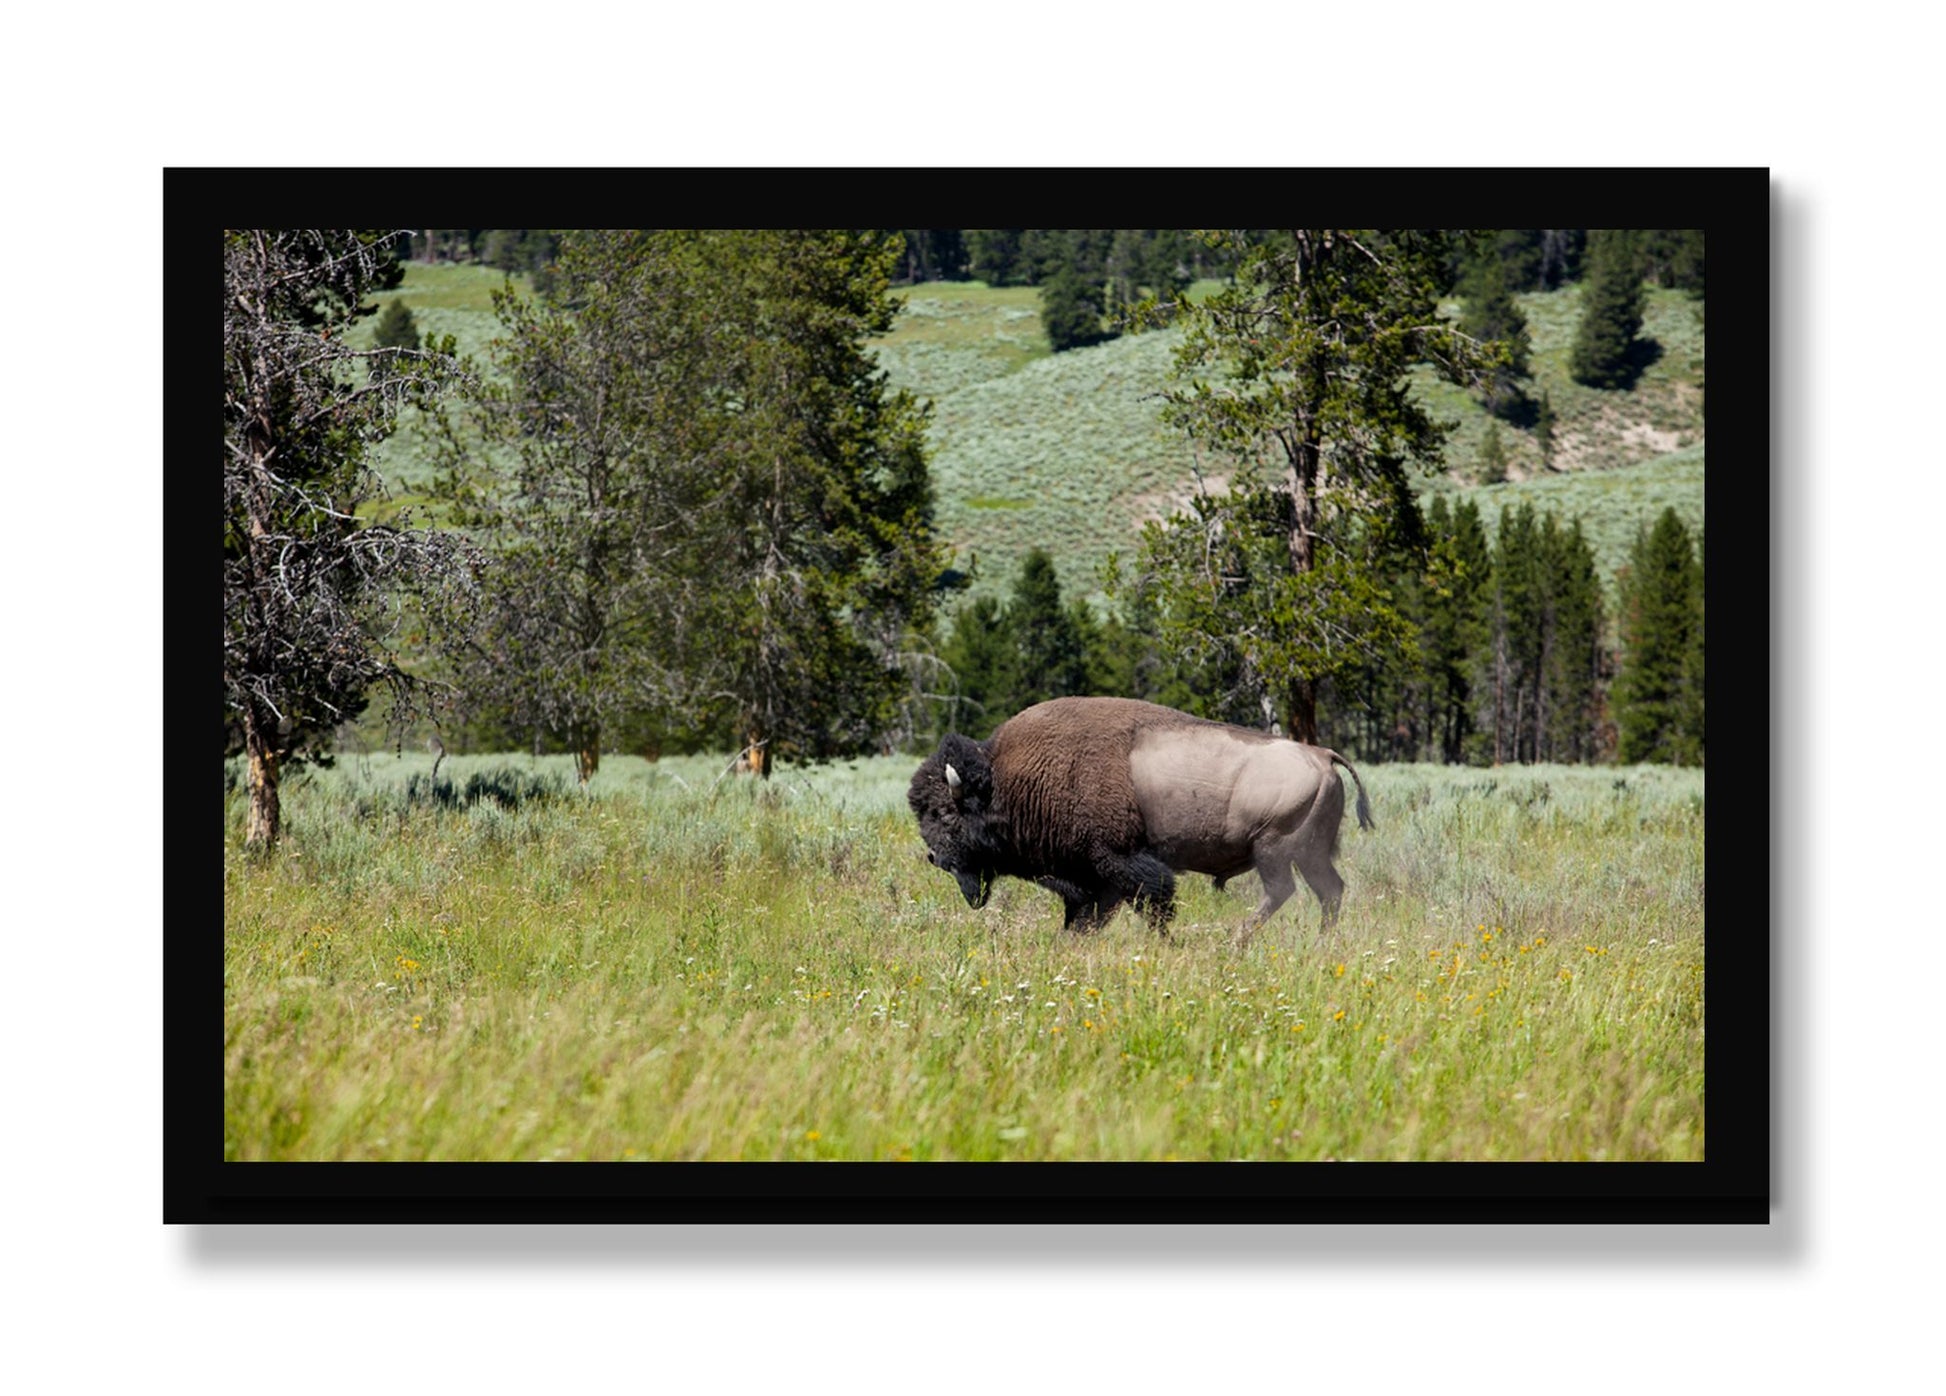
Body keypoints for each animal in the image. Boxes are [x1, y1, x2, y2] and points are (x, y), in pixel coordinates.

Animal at [908, 696, 1372, 946]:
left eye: (943, 813)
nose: (934, 857)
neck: (1007, 780)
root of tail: (1322, 755)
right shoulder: (1092, 879)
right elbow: (1087, 916)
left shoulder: (1120, 862)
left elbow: (1153, 904)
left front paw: (1168, 942)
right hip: (1309, 853)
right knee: (1329, 891)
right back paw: (1319, 942)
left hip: (1273, 848)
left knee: (1282, 891)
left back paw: (1236, 939)